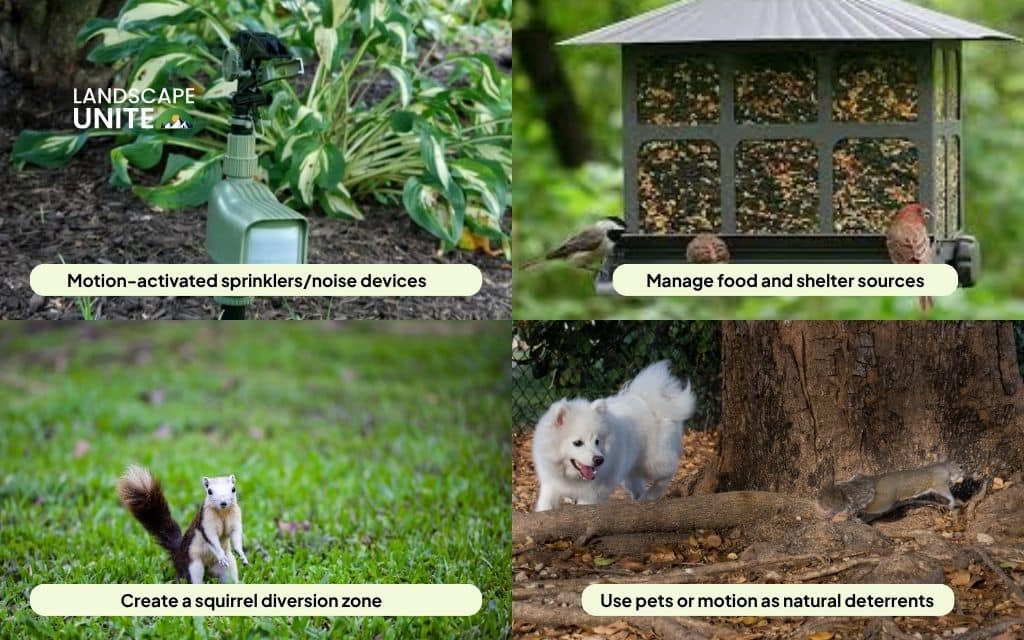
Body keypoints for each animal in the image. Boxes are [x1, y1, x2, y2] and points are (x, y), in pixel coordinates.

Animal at [116, 465, 249, 583]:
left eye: (233, 489)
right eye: (209, 491)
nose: (223, 503)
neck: (223, 513)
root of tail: (178, 554)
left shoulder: (235, 517)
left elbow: (236, 535)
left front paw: (241, 554)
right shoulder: (205, 521)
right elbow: (211, 538)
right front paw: (221, 555)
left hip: (228, 566)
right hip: (192, 565)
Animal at [817, 461, 965, 522]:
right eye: (961, 467)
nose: (966, 470)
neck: (945, 468)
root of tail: (875, 480)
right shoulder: (939, 482)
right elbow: (945, 492)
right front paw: (952, 501)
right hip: (882, 501)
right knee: (865, 509)